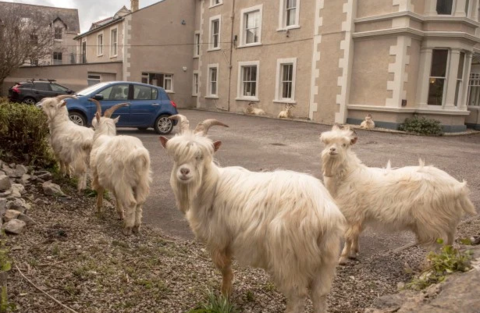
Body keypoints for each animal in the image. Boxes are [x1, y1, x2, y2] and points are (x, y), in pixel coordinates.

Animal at [88, 99, 151, 234]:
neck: (103, 136)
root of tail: (137, 153)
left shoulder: (98, 174)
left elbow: (100, 190)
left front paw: (98, 208)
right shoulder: (113, 180)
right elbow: (116, 195)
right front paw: (120, 213)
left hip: (123, 180)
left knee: (132, 202)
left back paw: (128, 227)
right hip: (142, 180)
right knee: (140, 202)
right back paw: (136, 226)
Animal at [160, 115, 344, 312]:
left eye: (199, 156)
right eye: (175, 156)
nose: (184, 172)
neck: (211, 184)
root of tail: (323, 212)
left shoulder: (219, 239)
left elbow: (225, 270)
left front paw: (225, 297)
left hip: (290, 258)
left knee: (297, 294)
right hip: (326, 259)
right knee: (320, 294)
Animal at [318, 124, 476, 264]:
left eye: (344, 144)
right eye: (326, 142)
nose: (332, 150)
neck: (348, 175)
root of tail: (458, 187)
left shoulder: (352, 213)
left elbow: (348, 236)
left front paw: (343, 257)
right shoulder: (360, 216)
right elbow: (356, 234)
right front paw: (354, 252)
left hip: (432, 221)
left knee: (438, 244)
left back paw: (429, 264)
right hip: (449, 221)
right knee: (450, 241)